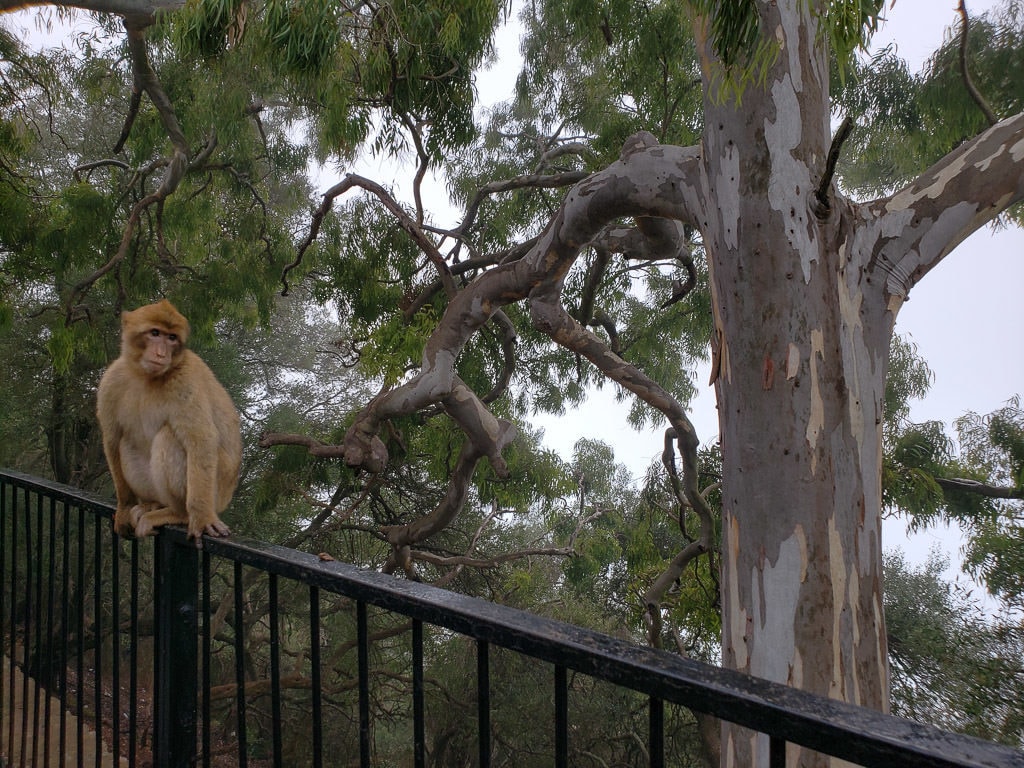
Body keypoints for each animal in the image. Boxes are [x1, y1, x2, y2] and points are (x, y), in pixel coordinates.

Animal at [95, 301, 240, 548]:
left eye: (172, 338)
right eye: (155, 333)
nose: (161, 353)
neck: (146, 377)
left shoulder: (185, 380)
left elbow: (201, 439)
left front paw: (201, 518)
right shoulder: (112, 380)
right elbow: (112, 438)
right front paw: (124, 507)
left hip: (217, 491)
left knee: (170, 437)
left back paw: (180, 514)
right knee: (126, 441)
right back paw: (152, 504)